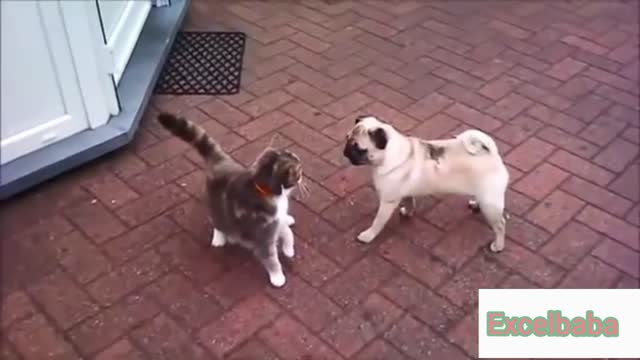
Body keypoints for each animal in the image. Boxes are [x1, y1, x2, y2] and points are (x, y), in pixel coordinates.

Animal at [156, 112, 304, 286]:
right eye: (299, 171)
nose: (303, 174)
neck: (267, 190)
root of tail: (221, 163)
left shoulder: (273, 222)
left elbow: (287, 232)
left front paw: (288, 248)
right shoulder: (262, 234)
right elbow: (270, 258)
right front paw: (277, 277)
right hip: (215, 204)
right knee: (218, 221)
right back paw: (219, 237)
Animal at [344, 115, 510, 253]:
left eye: (359, 149)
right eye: (347, 138)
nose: (345, 151)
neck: (388, 154)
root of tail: (492, 154)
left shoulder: (388, 201)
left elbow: (378, 221)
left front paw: (368, 235)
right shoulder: (406, 193)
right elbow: (410, 202)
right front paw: (408, 212)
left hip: (490, 203)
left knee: (500, 225)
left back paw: (498, 246)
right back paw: (476, 204)